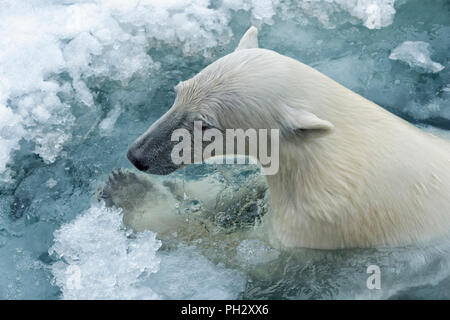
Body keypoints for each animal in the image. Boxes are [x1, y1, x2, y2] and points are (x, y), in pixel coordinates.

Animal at [125, 26, 450, 249]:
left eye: (205, 125)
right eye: (177, 92)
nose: (137, 156)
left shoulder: (325, 221)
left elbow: (245, 251)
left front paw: (137, 199)